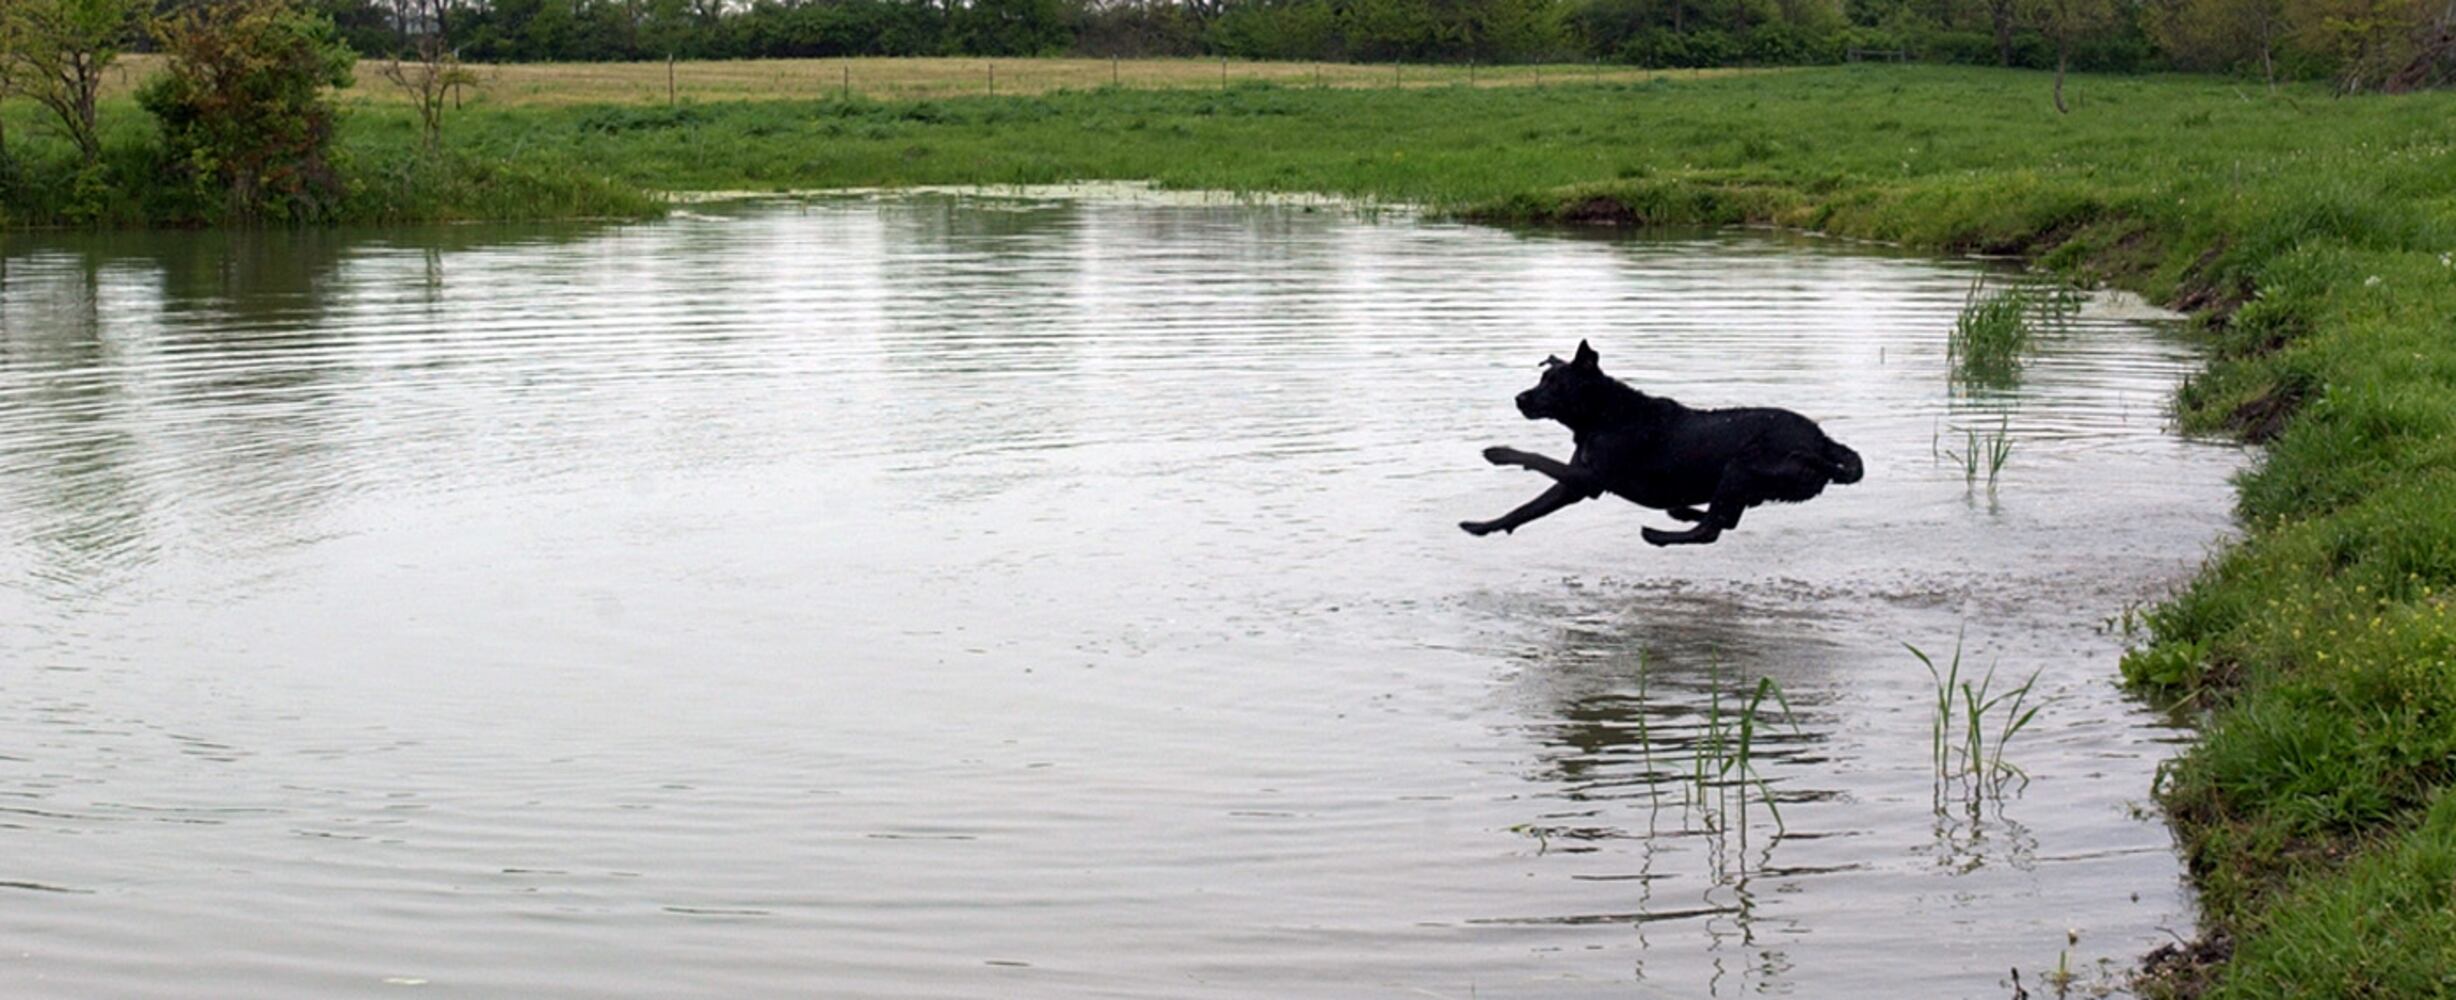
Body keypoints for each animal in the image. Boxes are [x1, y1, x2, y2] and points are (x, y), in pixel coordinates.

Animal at [1453, 341, 1856, 547]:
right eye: (1542, 378)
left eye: (1556, 384)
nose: (1519, 399)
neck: (1603, 416)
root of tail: (1824, 442)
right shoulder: (1576, 484)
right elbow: (1527, 508)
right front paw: (1484, 526)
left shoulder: (1592, 480)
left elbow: (1537, 458)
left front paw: (1500, 454)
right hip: (1749, 480)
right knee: (1725, 519)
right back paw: (1680, 513)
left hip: (1743, 466)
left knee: (1713, 529)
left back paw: (1660, 534)